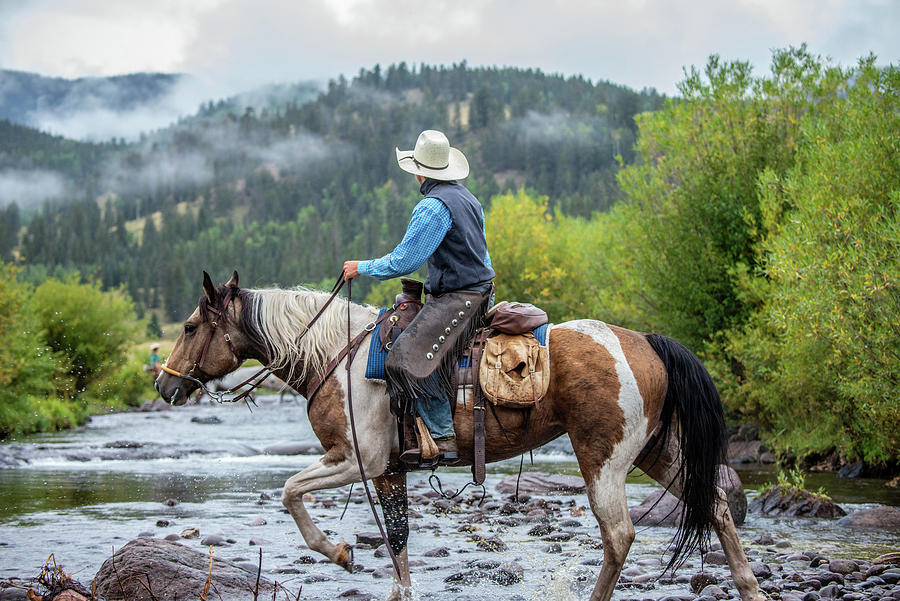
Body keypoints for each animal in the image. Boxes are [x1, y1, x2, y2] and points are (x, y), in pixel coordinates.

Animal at [155, 274, 760, 600]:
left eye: (189, 327)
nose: (164, 385)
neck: (336, 355)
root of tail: (646, 341)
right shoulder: (388, 469)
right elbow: (397, 537)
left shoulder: (354, 458)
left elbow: (290, 492)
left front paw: (340, 552)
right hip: (657, 451)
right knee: (716, 504)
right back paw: (749, 586)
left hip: (603, 458)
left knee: (619, 535)